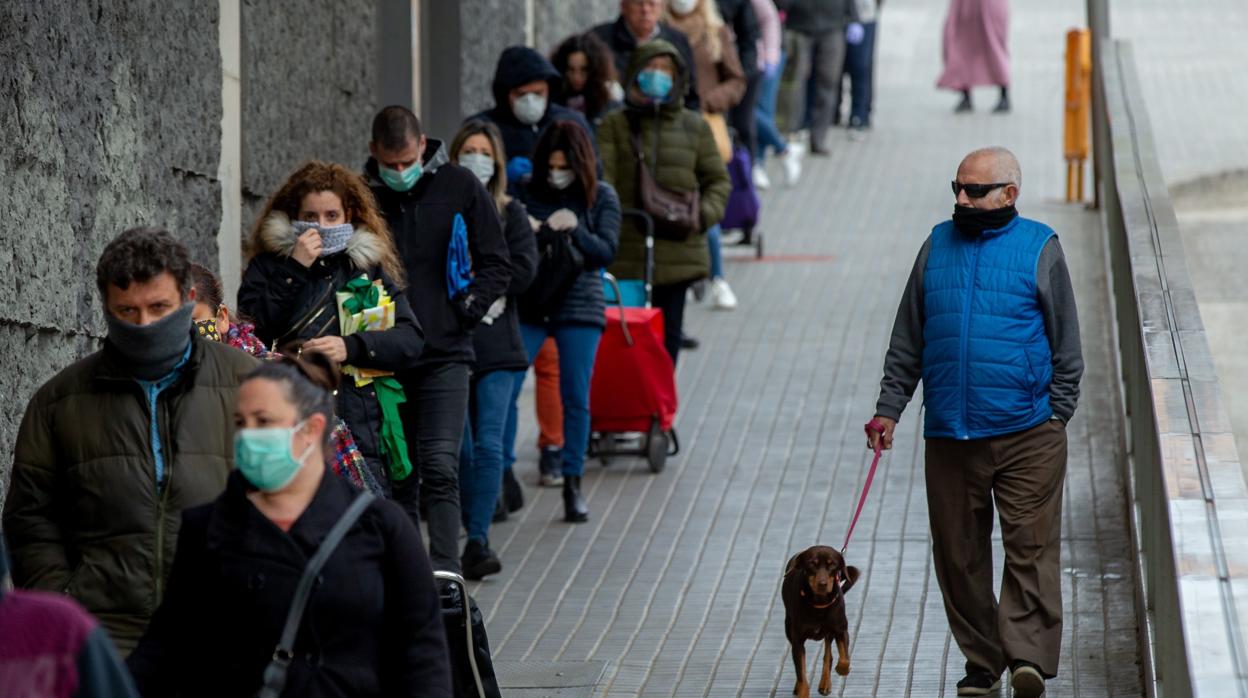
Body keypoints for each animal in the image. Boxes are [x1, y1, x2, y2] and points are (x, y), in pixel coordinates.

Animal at [783, 546, 863, 698]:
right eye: (811, 564)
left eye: (832, 564)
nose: (822, 584)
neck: (819, 603)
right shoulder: (798, 641)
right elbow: (801, 671)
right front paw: (802, 691)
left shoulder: (841, 630)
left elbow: (844, 659)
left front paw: (841, 669)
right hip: (788, 628)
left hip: (829, 633)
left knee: (828, 656)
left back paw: (825, 684)